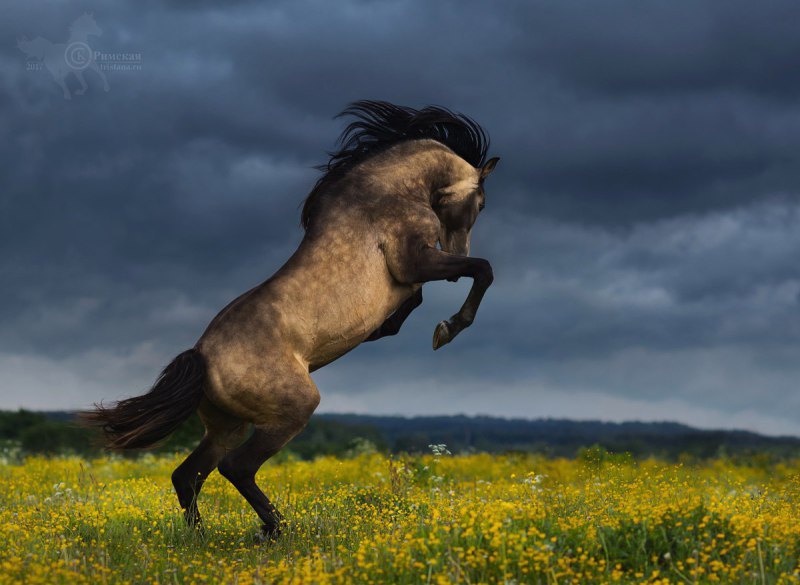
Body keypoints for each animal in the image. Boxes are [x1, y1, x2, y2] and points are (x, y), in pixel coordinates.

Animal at [81, 99, 500, 540]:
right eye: (481, 204)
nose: (457, 249)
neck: (389, 191)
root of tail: (202, 357)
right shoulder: (413, 261)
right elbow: (481, 270)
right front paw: (448, 328)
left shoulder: (412, 273)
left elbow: (418, 298)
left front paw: (392, 329)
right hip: (292, 410)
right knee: (236, 468)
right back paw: (276, 530)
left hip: (227, 426)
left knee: (189, 474)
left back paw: (203, 536)